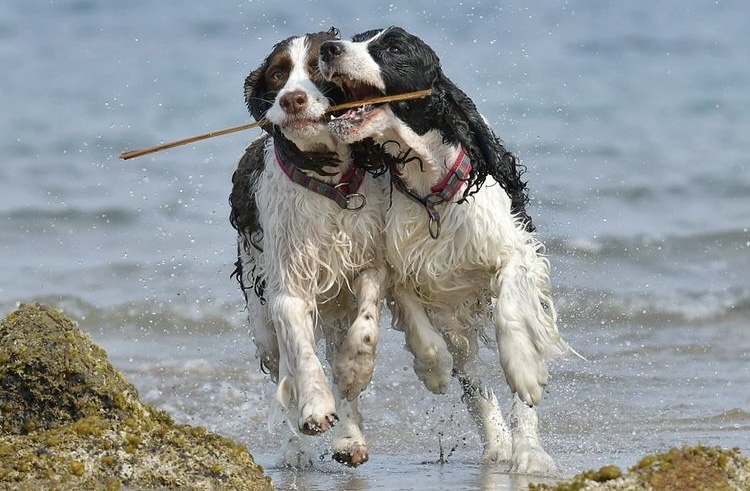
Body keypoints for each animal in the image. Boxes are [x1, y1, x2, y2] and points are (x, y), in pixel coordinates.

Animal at [229, 28, 388, 468]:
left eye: (319, 67)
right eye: (277, 74)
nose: (291, 100)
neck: (327, 182)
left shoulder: (368, 262)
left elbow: (365, 325)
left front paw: (354, 372)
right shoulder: (286, 289)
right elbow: (301, 354)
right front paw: (315, 409)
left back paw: (350, 438)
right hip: (260, 320)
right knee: (280, 372)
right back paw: (295, 449)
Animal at [320, 27, 580, 476]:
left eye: (393, 48)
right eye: (356, 38)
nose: (327, 47)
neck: (430, 188)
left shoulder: (514, 252)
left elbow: (512, 313)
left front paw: (525, 370)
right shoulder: (403, 267)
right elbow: (424, 333)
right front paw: (434, 372)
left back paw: (529, 453)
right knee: (472, 377)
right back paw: (499, 446)